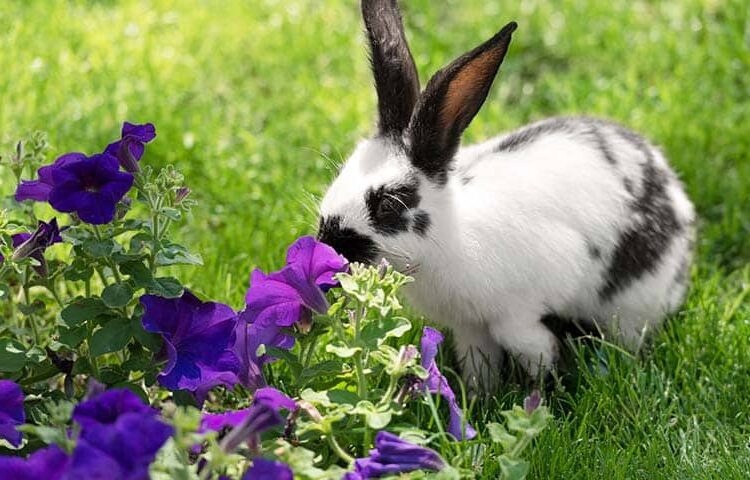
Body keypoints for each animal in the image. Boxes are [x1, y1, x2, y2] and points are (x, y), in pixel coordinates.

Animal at [317, 0, 696, 389]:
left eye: (389, 204)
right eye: (341, 174)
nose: (328, 241)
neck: (451, 236)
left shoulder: (519, 310)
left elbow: (530, 348)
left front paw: (543, 391)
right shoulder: (469, 327)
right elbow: (478, 362)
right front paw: (478, 395)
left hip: (632, 302)